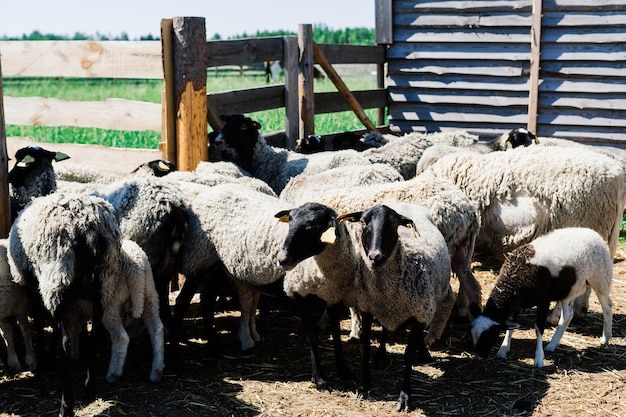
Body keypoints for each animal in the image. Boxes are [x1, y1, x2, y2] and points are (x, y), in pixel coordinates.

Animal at [336, 203, 454, 412]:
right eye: (363, 222)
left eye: (393, 225)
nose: (375, 257)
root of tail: (407, 205)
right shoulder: (367, 308)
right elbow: (364, 347)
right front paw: (363, 387)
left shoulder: (419, 313)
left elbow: (408, 354)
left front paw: (405, 397)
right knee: (384, 328)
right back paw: (381, 355)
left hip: (428, 306)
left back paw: (423, 352)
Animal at [468, 228, 608, 368]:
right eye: (472, 335)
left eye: (489, 337)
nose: (478, 359)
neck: (515, 279)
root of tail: (591, 232)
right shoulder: (516, 304)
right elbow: (511, 324)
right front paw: (503, 349)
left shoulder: (544, 300)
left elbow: (539, 328)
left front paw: (539, 359)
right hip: (569, 289)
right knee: (568, 315)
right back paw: (552, 345)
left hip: (600, 278)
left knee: (607, 306)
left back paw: (606, 338)